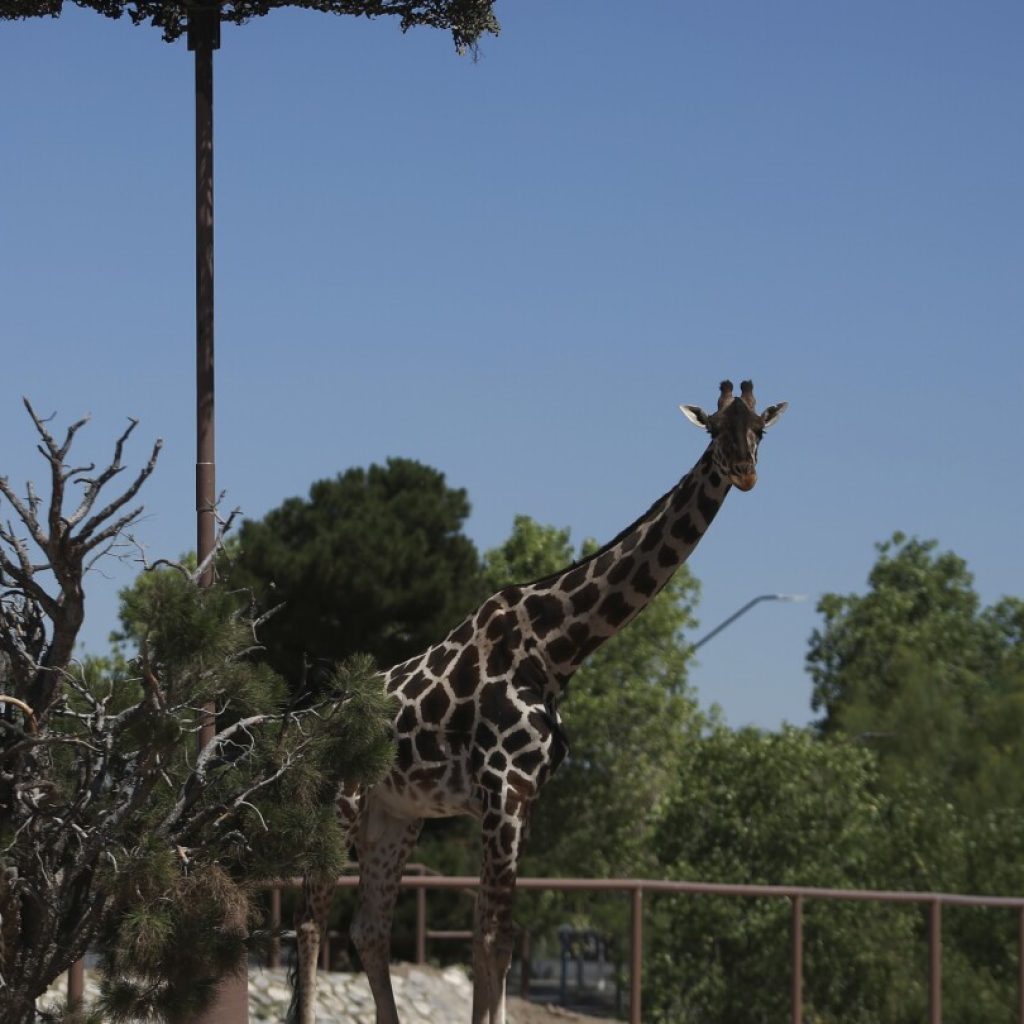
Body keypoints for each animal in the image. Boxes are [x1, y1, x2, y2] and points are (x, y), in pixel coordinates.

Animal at [292, 380, 786, 1024]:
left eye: (760, 429)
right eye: (713, 429)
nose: (745, 473)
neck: (555, 651)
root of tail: (308, 729)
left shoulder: (521, 800)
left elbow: (495, 938)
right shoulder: (501, 791)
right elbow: (492, 938)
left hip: (394, 817)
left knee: (368, 928)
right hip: (338, 804)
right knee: (309, 923)